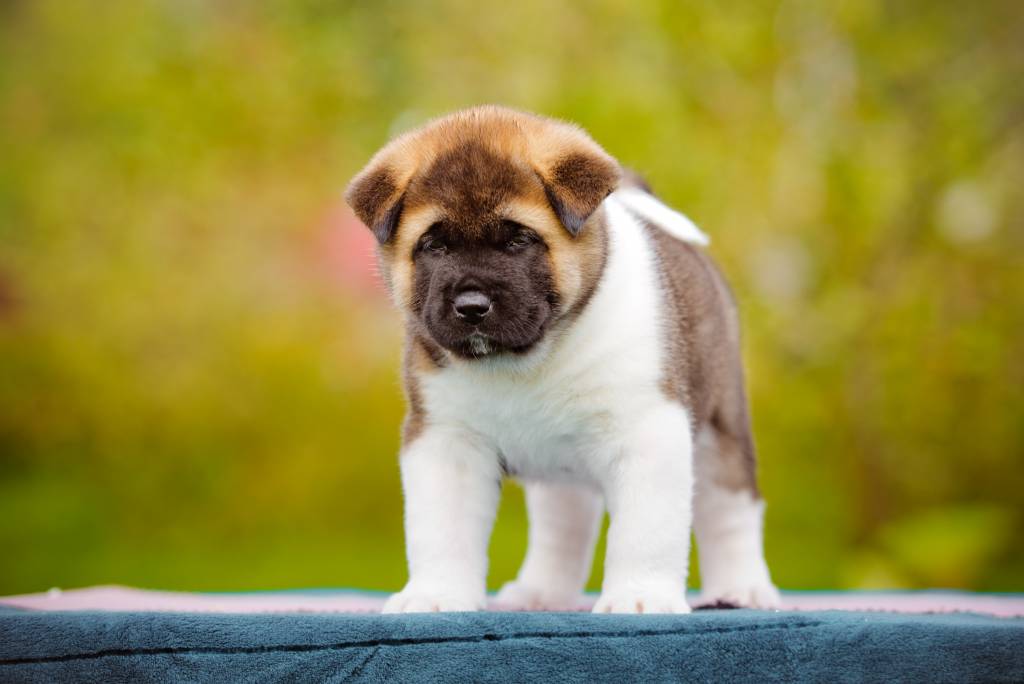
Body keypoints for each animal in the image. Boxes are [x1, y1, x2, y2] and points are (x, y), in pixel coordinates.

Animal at [345, 106, 780, 614]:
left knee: (731, 512)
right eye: (434, 246)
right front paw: (436, 594)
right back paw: (542, 591)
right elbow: (441, 531)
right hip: (560, 470)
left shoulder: (647, 433)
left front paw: (640, 596)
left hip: (719, 431)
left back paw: (741, 588)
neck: (527, 359)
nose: (471, 306)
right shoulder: (446, 442)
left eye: (518, 241)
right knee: (563, 527)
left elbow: (647, 532)